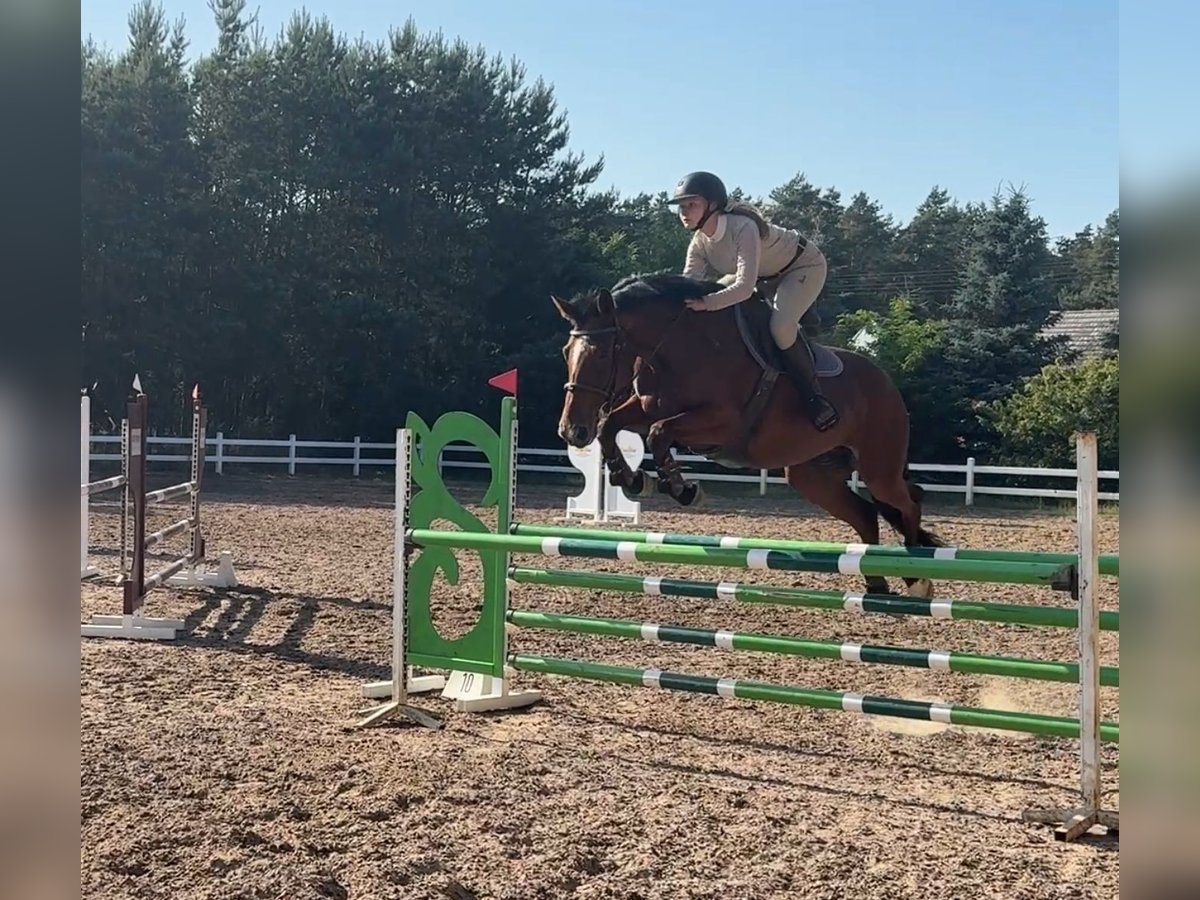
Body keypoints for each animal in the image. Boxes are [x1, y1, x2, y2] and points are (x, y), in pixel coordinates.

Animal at [550, 271, 944, 598]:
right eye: (566, 351)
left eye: (603, 354)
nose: (572, 431)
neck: (678, 347)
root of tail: (887, 382)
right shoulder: (645, 406)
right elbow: (611, 425)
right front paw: (631, 478)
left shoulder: (722, 422)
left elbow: (659, 434)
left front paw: (682, 489)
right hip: (810, 474)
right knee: (866, 514)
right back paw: (876, 582)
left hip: (879, 468)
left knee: (909, 501)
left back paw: (917, 576)